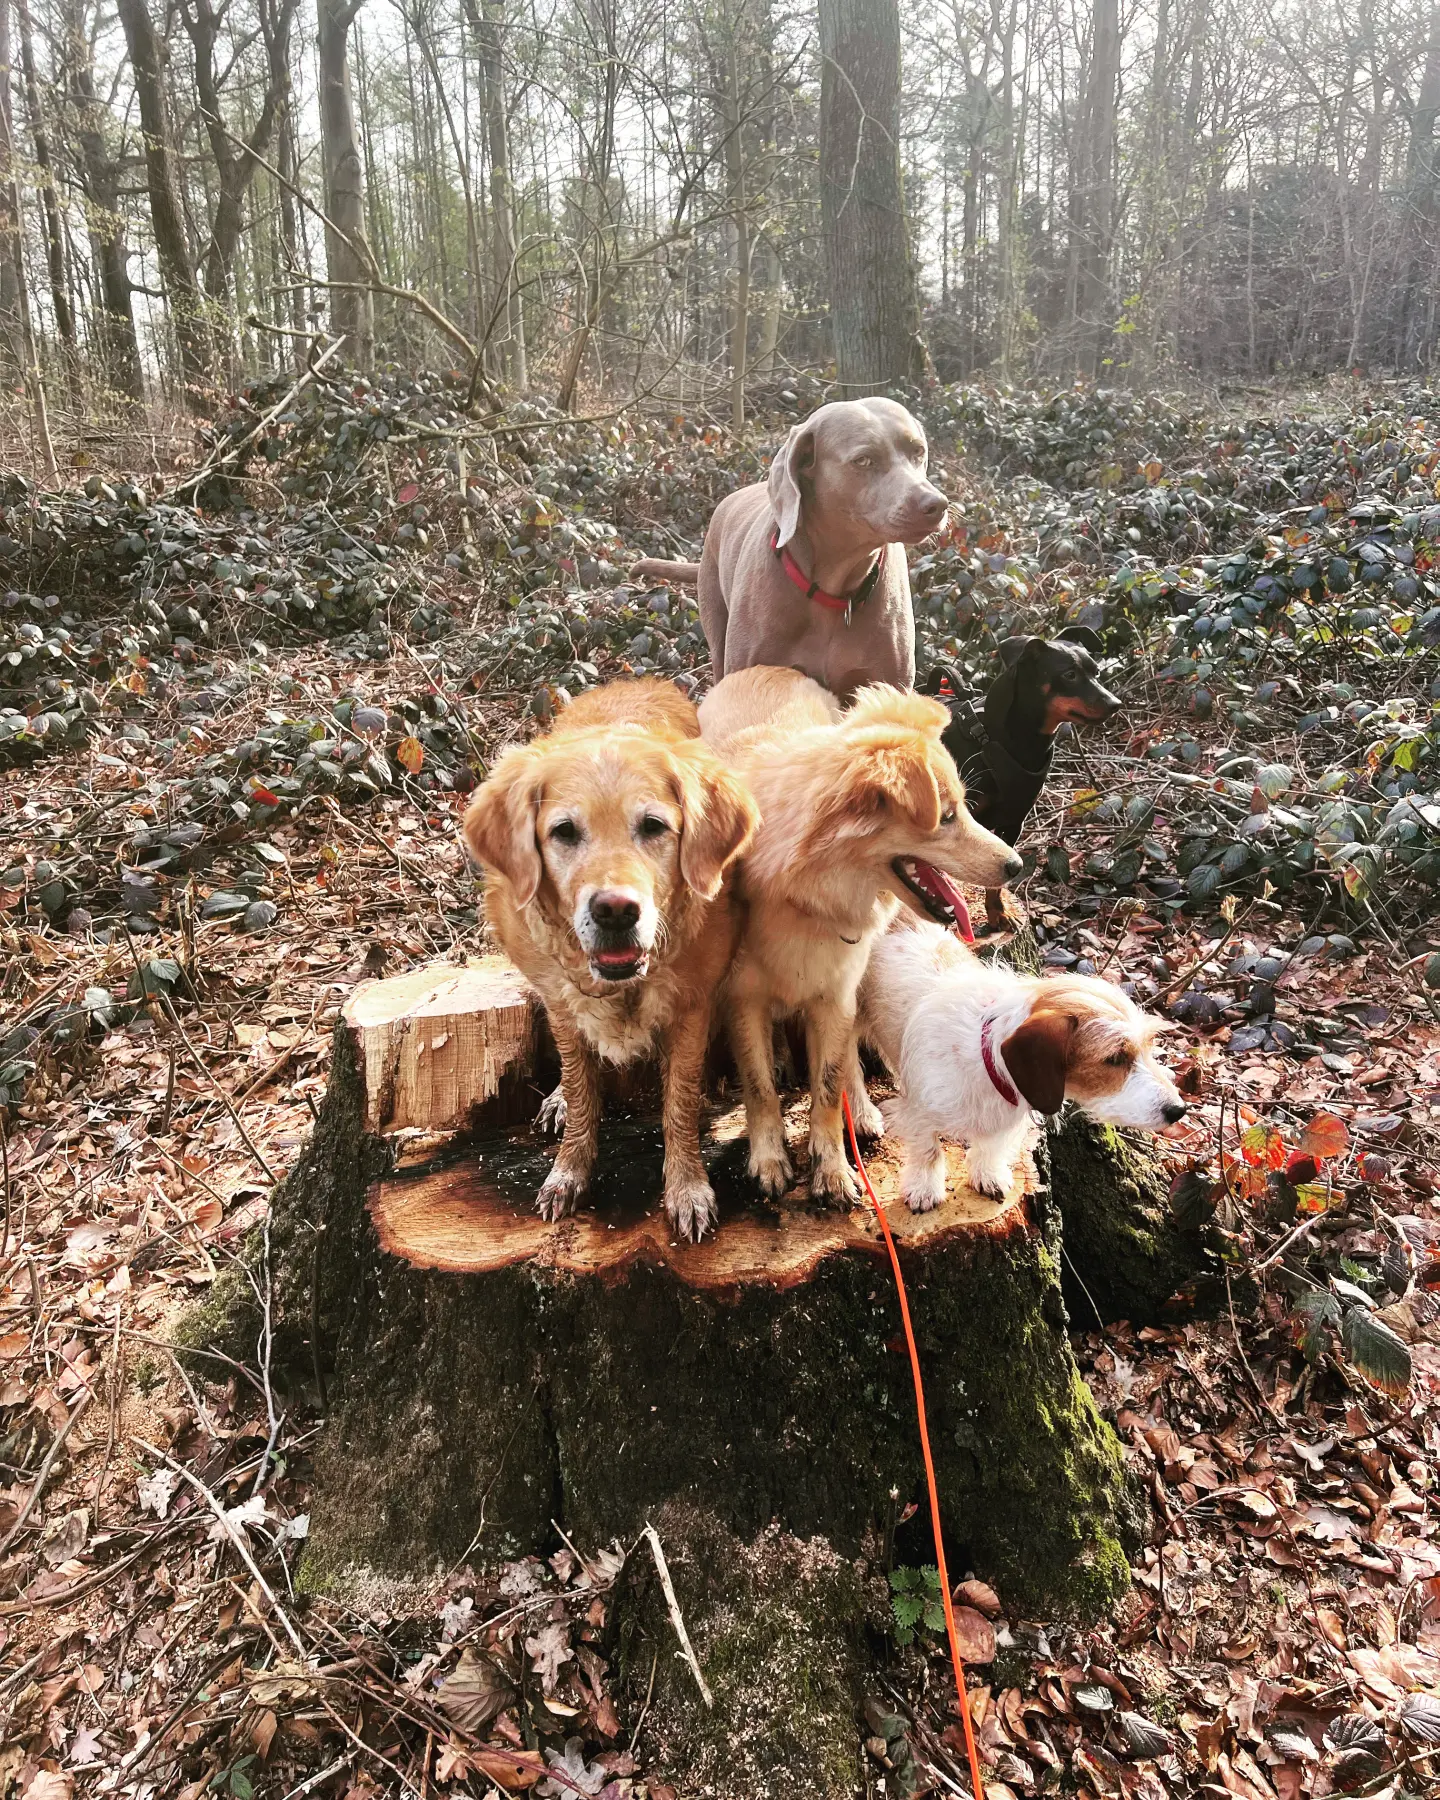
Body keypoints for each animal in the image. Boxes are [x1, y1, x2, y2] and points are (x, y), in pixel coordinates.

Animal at [460, 676, 759, 1238]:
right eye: (563, 831)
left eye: (654, 826)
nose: (616, 910)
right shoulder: (560, 1001)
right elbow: (582, 1088)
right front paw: (569, 1169)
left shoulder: (691, 1007)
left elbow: (679, 1100)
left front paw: (687, 1187)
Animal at [702, 669, 1022, 1202]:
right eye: (947, 816)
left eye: (963, 808)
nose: (1017, 865)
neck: (803, 895)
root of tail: (769, 669)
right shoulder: (742, 1000)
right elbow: (760, 1087)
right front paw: (768, 1159)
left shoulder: (836, 993)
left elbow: (829, 1085)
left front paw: (831, 1167)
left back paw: (863, 1110)